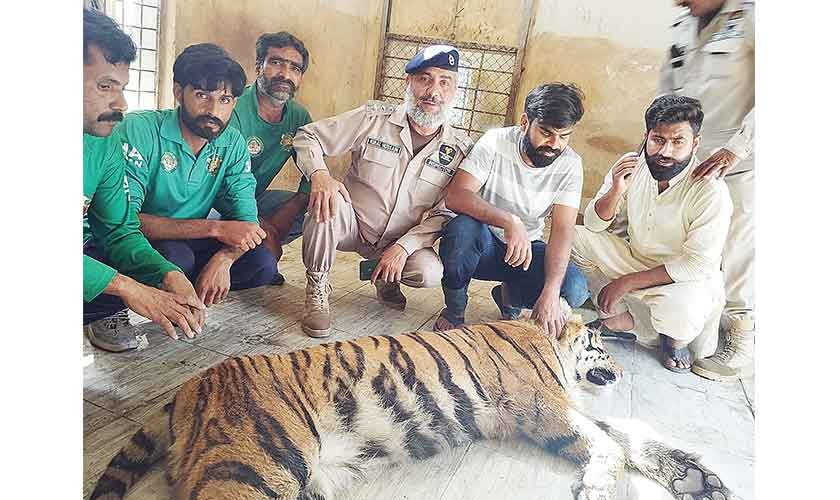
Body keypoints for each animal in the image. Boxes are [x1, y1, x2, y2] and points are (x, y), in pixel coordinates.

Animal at [89, 316, 735, 500]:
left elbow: (629, 434)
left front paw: (699, 479)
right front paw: (599, 488)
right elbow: (608, 442)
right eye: (601, 342)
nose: (622, 370)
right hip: (254, 461)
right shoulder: (542, 404)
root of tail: (192, 385)